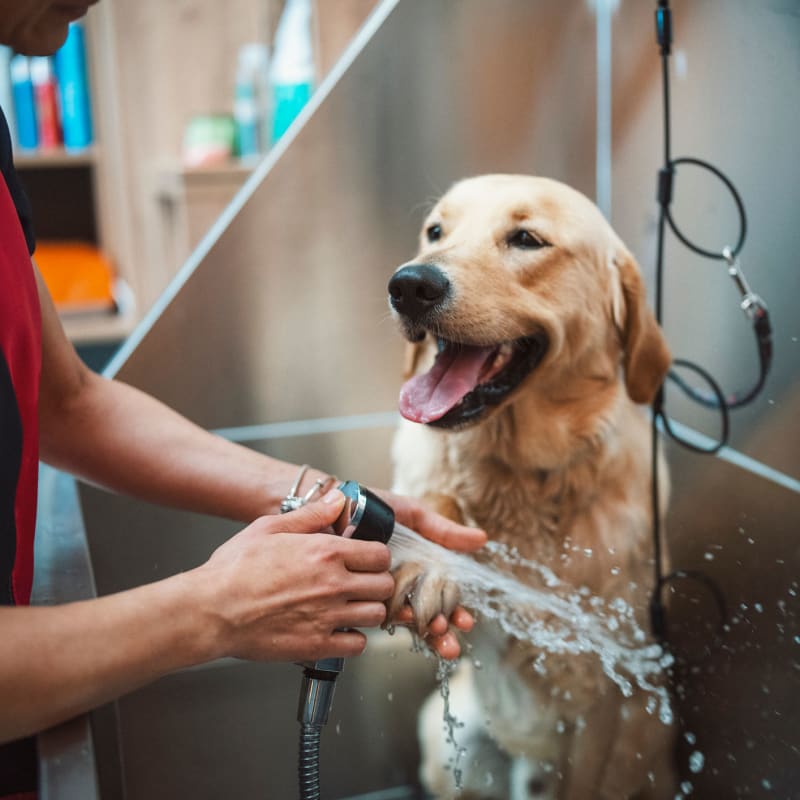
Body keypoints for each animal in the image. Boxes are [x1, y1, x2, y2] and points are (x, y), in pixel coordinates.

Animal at [384, 177, 680, 800]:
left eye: (526, 239)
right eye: (435, 232)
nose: (409, 285)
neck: (520, 475)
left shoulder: (600, 696)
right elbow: (438, 505)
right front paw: (429, 562)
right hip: (445, 741)